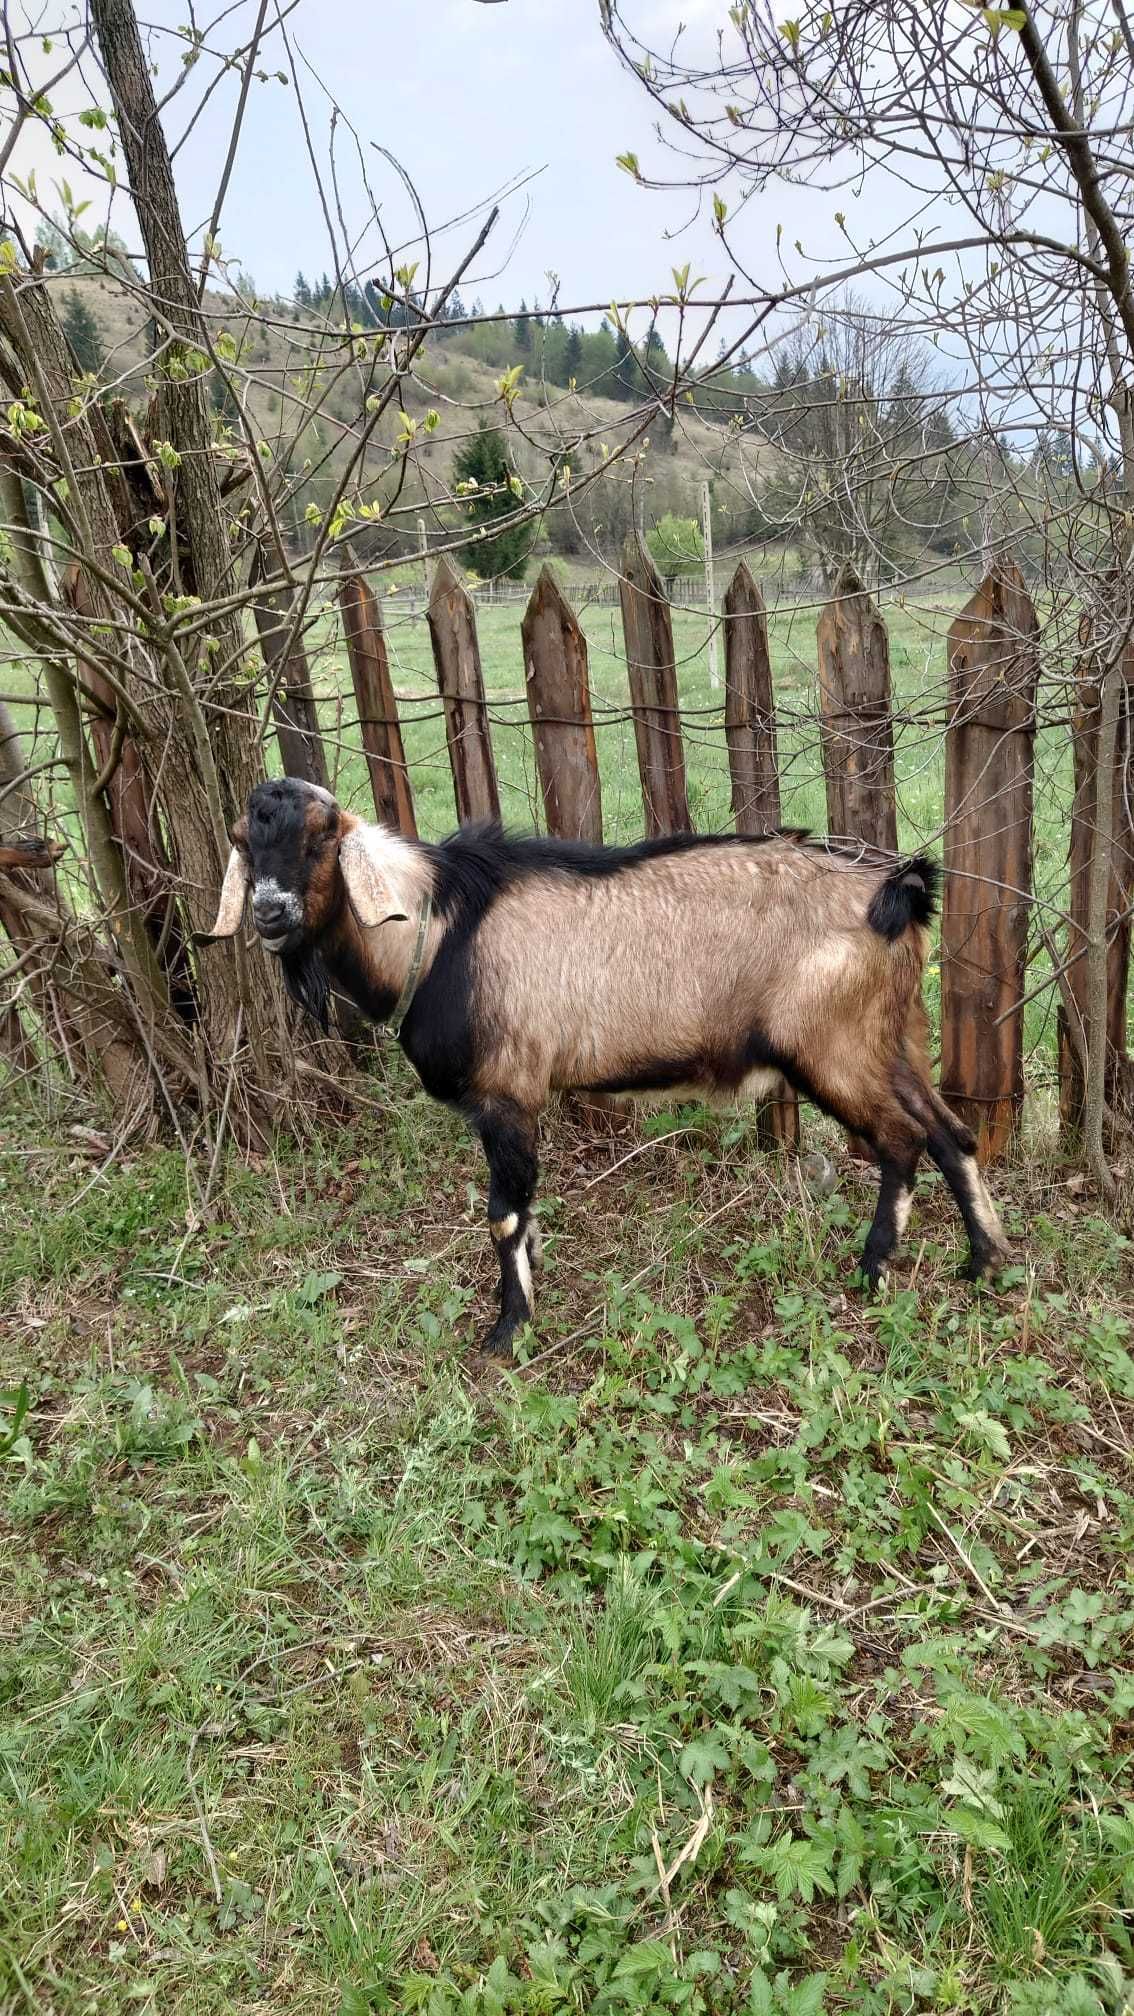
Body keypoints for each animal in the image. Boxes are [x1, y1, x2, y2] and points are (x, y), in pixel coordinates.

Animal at [198, 770, 1000, 1354]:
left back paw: (873, 1268)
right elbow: (523, 1212)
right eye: (244, 840)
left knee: (901, 1139)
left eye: (320, 840)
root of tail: (894, 891)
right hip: (893, 1039)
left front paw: (507, 1330)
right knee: (951, 1134)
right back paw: (984, 1261)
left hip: (833, 1049)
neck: (436, 929)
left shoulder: (507, 1093)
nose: (270, 914)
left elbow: (503, 1214)